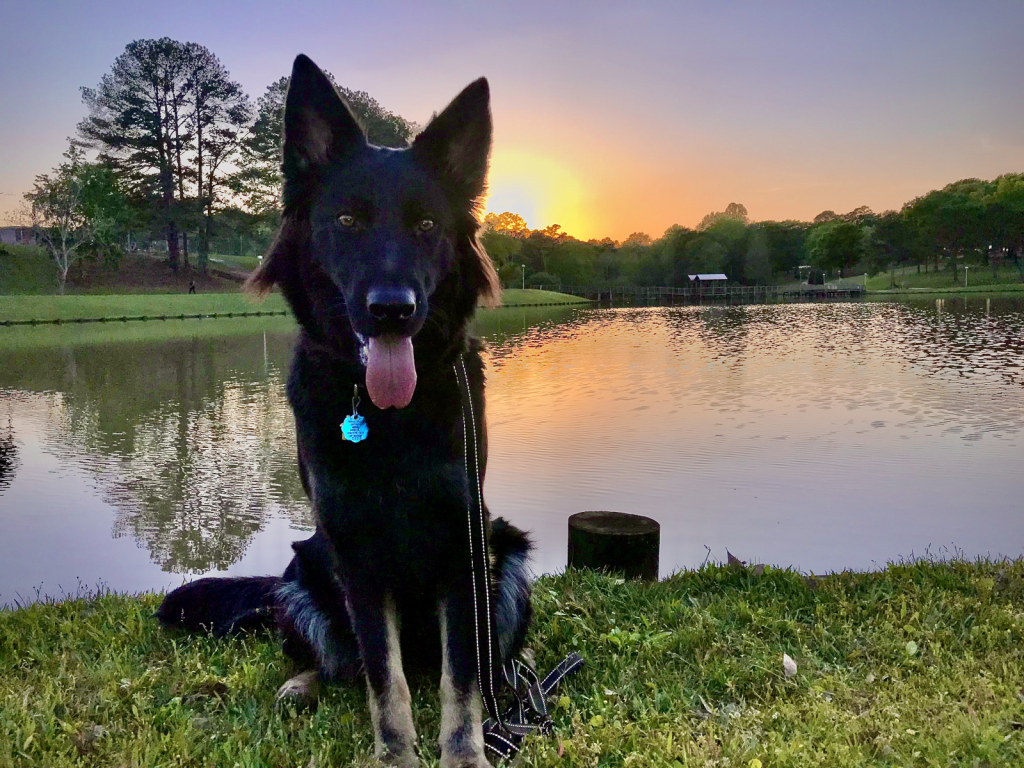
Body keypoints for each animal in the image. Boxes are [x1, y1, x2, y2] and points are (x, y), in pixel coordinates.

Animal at [156, 55, 536, 768]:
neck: (388, 417)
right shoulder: (353, 551)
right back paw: (301, 683)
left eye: (426, 226)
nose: (392, 310)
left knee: (482, 660)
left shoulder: (464, 545)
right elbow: (384, 678)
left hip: (508, 560)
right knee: (337, 661)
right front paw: (396, 755)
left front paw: (465, 752)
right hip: (304, 573)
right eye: (348, 221)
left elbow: (461, 678)